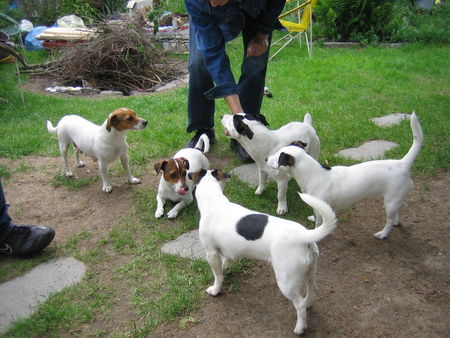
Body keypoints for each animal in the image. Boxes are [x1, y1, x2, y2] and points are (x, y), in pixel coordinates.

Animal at [188, 169, 336, 336]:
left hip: (286, 281)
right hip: (309, 271)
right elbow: (225, 263)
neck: (214, 202)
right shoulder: (227, 251)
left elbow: (218, 276)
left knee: (299, 305)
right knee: (312, 290)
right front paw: (226, 270)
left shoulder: (211, 253)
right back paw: (308, 304)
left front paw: (215, 290)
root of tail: (304, 235)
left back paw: (300, 328)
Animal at [266, 112, 424, 239]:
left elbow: (319, 221)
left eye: (277, 157)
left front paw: (317, 231)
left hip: (390, 203)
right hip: (396, 199)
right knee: (401, 208)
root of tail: (402, 163)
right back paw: (397, 222)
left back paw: (383, 233)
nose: (266, 159)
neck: (314, 174)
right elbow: (316, 215)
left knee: (389, 220)